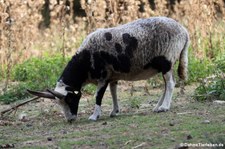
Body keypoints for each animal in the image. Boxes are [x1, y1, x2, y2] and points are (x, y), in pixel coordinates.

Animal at [28, 16, 190, 122]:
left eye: (70, 99)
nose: (70, 119)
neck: (85, 62)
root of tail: (184, 31)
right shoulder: (112, 77)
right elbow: (113, 93)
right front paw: (114, 111)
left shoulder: (103, 76)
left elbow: (98, 96)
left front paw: (94, 116)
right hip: (164, 65)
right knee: (166, 85)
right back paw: (158, 107)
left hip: (167, 60)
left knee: (170, 84)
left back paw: (164, 107)